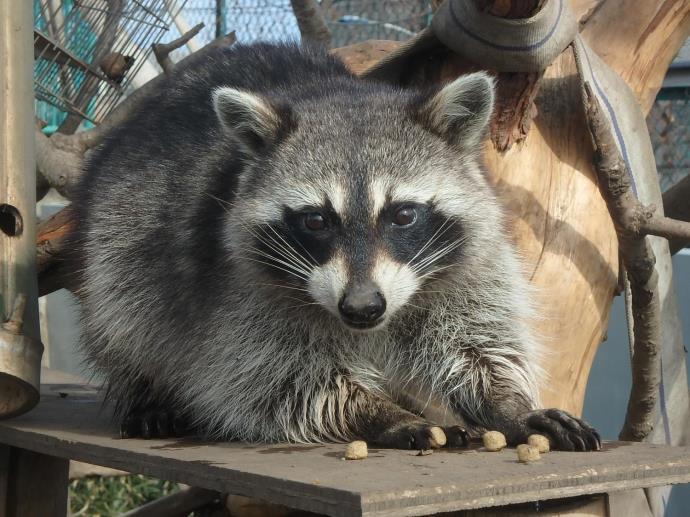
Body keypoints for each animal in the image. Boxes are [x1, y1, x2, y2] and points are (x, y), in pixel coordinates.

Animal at [70, 42, 596, 450]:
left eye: (403, 215)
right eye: (316, 220)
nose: (362, 307)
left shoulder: (467, 265)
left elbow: (478, 342)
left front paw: (507, 404)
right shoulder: (237, 294)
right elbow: (269, 382)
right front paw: (379, 413)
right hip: (117, 234)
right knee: (126, 314)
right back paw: (145, 392)